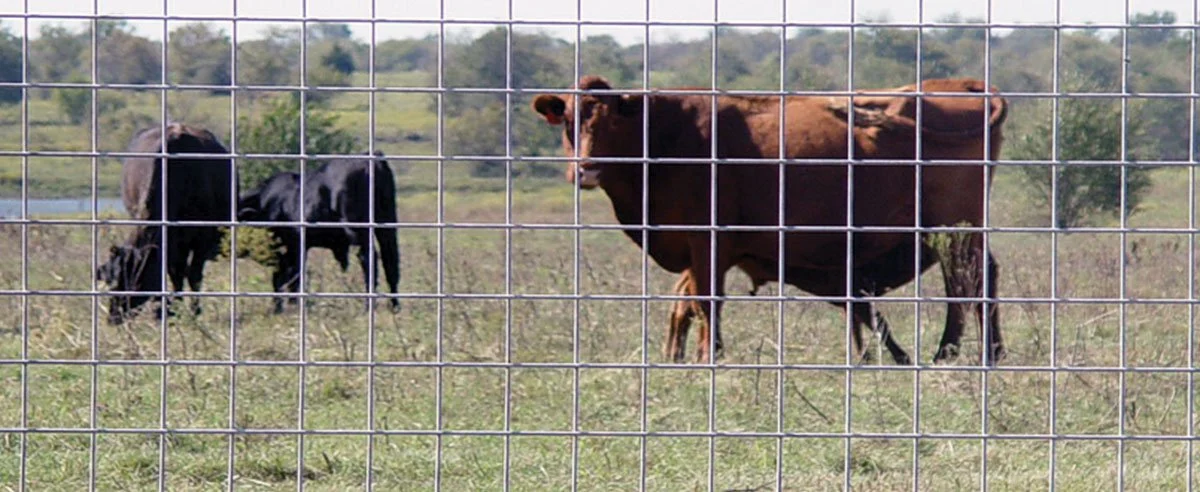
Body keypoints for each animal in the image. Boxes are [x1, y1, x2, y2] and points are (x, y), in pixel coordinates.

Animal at [97, 123, 234, 325]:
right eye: (110, 281)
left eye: (127, 283)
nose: (113, 317)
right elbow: (173, 272)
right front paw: (170, 309)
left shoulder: (202, 238)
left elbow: (194, 275)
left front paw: (193, 311)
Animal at [236, 153, 402, 314]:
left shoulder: (289, 248)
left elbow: (284, 278)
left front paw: (282, 308)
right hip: (387, 225)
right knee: (390, 261)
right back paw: (394, 306)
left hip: (358, 230)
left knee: (368, 259)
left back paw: (368, 307)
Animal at [533, 75, 1008, 365]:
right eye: (569, 120)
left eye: (612, 120)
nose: (586, 169)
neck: (664, 135)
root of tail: (957, 85)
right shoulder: (698, 249)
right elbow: (683, 303)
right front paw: (677, 358)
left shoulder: (708, 240)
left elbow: (705, 301)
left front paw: (709, 357)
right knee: (976, 280)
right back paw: (984, 353)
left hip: (955, 230)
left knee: (968, 282)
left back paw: (956, 353)